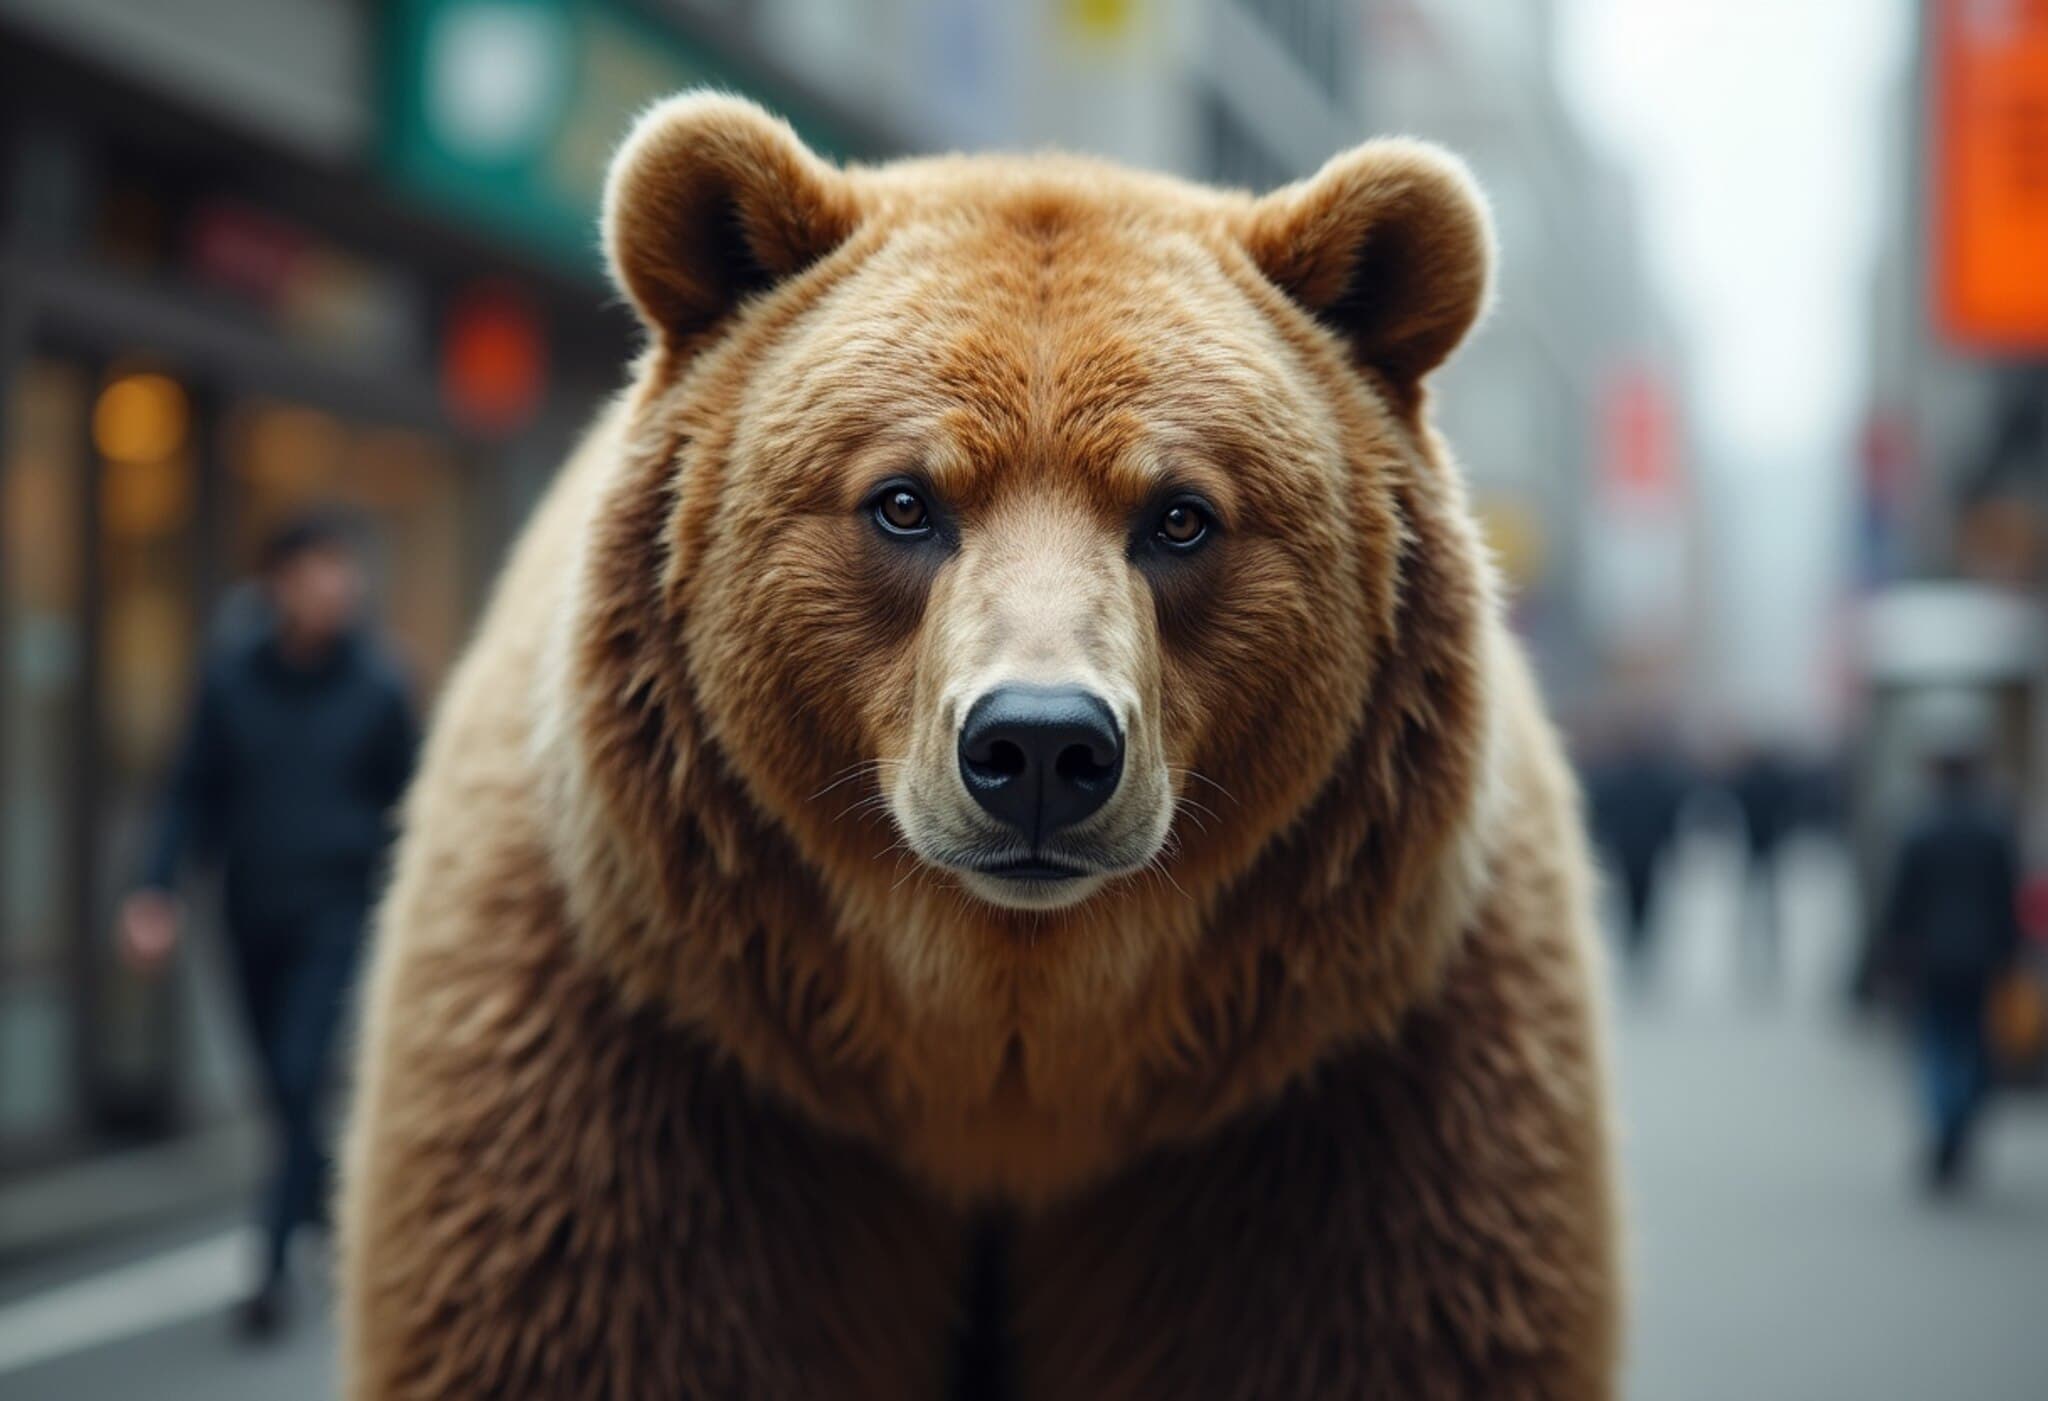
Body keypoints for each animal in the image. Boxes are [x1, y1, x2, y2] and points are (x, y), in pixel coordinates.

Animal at [339, 92, 1621, 1400]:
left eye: (1180, 514)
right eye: (904, 500)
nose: (1041, 747)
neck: (1000, 1058)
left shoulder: (1340, 1103)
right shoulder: (654, 1064)